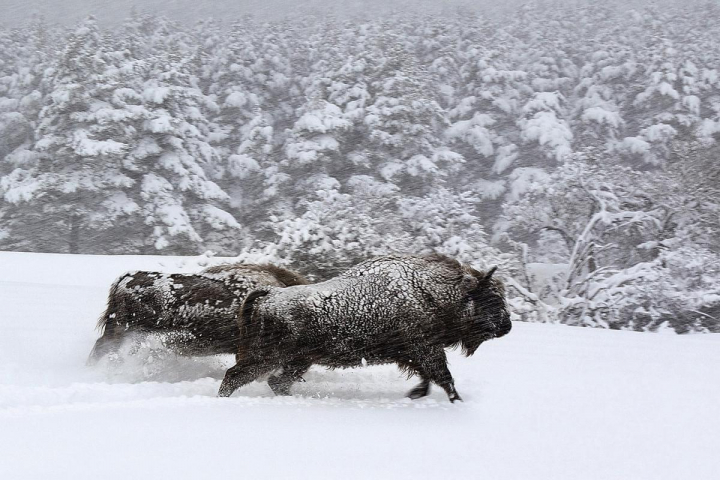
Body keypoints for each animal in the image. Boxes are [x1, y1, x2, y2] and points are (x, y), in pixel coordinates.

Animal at [217, 253, 510, 404]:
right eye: (491, 298)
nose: (506, 326)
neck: (426, 292)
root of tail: (269, 294)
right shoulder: (426, 349)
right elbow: (443, 376)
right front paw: (456, 401)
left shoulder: (416, 353)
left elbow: (429, 376)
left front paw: (416, 394)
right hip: (268, 357)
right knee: (235, 376)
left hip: (298, 360)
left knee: (276, 382)